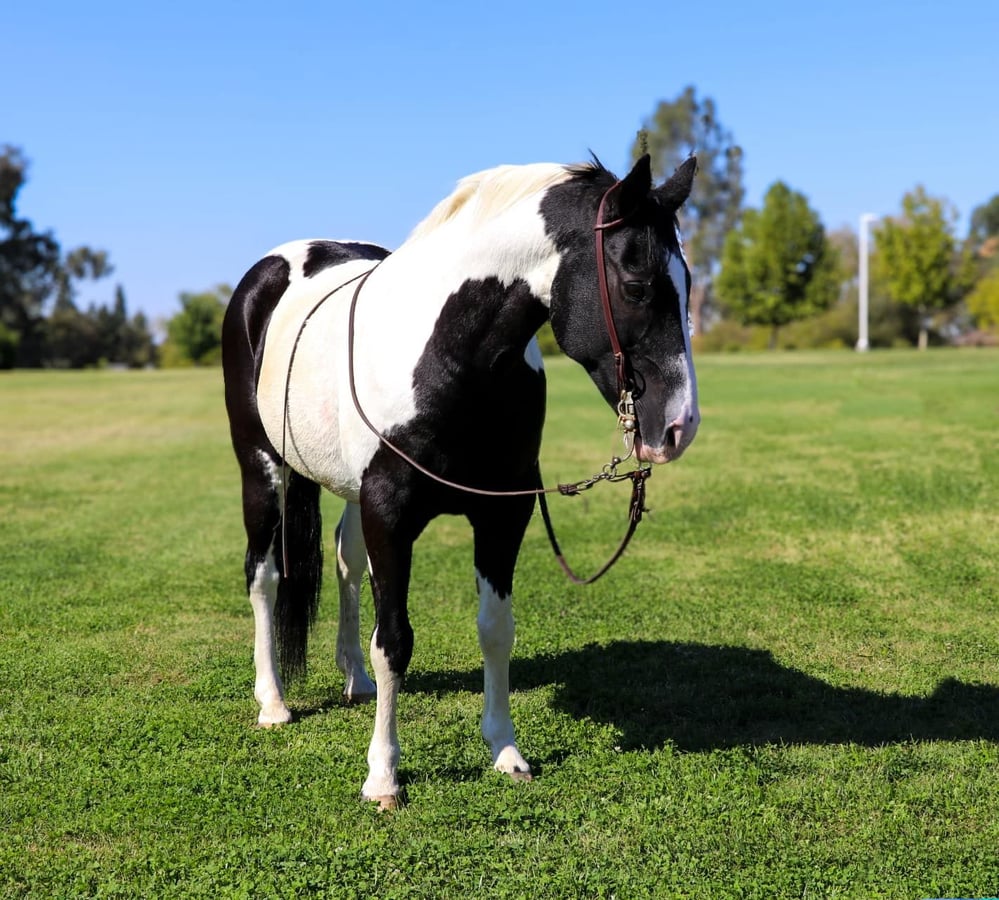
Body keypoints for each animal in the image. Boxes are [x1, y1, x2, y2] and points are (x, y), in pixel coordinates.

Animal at [221, 152, 699, 808]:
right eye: (636, 287)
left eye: (689, 285)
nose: (679, 426)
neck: (452, 356)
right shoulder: (390, 511)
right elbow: (394, 639)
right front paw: (384, 776)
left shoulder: (503, 512)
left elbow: (496, 630)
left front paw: (505, 750)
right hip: (260, 466)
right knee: (264, 574)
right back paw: (272, 701)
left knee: (346, 563)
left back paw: (353, 677)